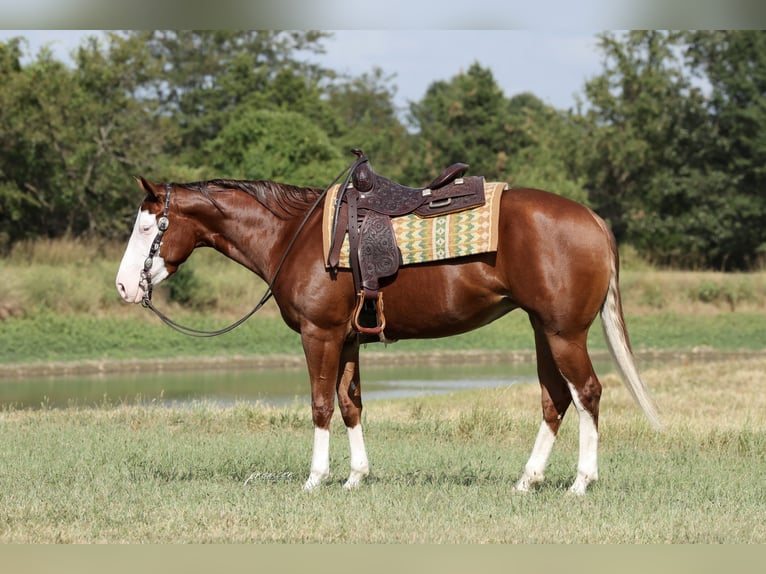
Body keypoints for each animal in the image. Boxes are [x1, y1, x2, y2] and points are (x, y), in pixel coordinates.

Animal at [115, 174, 661, 495]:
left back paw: (581, 483)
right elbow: (350, 402)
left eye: (147, 228)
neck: (294, 235)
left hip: (564, 332)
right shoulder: (347, 339)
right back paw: (528, 480)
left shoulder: (319, 335)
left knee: (586, 393)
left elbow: (320, 404)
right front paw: (356, 477)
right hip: (542, 329)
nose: (123, 287)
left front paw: (315, 479)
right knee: (556, 399)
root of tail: (592, 219)